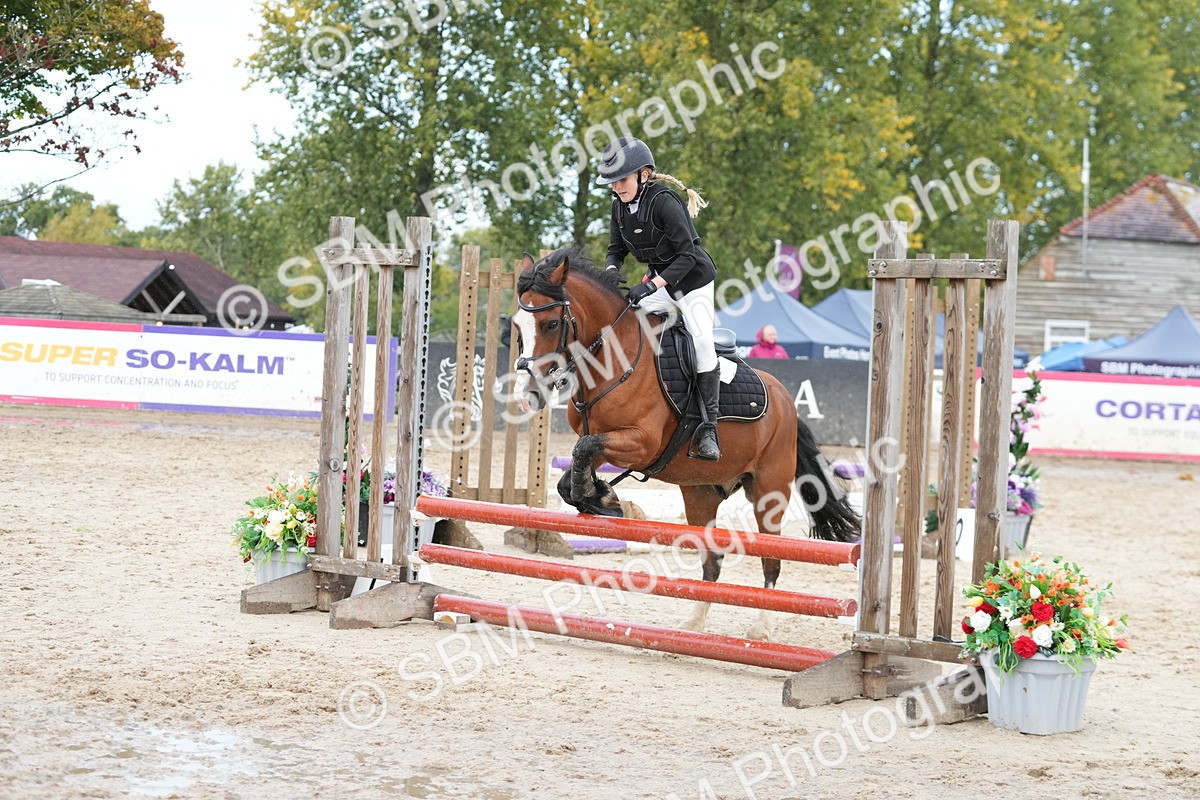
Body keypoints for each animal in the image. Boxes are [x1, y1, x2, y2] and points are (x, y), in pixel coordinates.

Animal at [511, 249, 861, 641]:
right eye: (516, 326)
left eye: (551, 324)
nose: (527, 395)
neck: (613, 360)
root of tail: (786, 399)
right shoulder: (604, 440)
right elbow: (574, 465)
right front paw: (603, 499)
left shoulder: (642, 443)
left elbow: (583, 450)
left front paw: (606, 499)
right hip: (701, 493)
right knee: (713, 561)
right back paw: (694, 625)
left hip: (769, 493)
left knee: (771, 558)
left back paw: (760, 629)